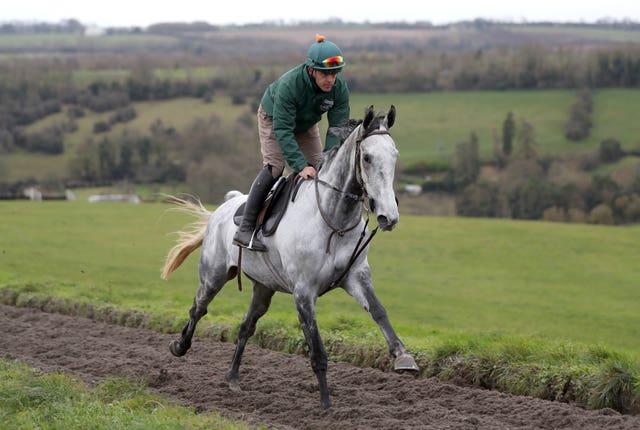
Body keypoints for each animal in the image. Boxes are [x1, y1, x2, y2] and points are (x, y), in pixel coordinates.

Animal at [162, 106, 418, 408]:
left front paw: (403, 357)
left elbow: (379, 311)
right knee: (198, 308)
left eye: (395, 155)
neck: (334, 220)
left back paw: (233, 377)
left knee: (246, 326)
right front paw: (326, 403)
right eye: (367, 157)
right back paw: (180, 346)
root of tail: (224, 206)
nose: (388, 216)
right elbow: (316, 348)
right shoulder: (303, 291)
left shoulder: (356, 276)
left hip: (264, 287)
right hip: (213, 275)